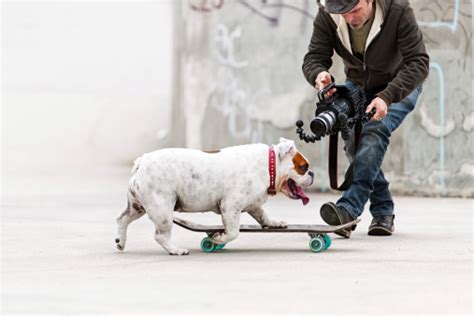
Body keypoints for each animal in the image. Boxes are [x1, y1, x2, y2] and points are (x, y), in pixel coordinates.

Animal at [115, 138, 314, 254]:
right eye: (304, 167)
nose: (312, 174)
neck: (269, 165)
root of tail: (142, 162)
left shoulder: (253, 205)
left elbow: (262, 215)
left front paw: (274, 223)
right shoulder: (231, 207)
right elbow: (233, 232)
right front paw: (217, 239)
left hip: (137, 207)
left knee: (122, 219)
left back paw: (120, 242)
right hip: (162, 209)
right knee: (160, 236)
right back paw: (176, 250)